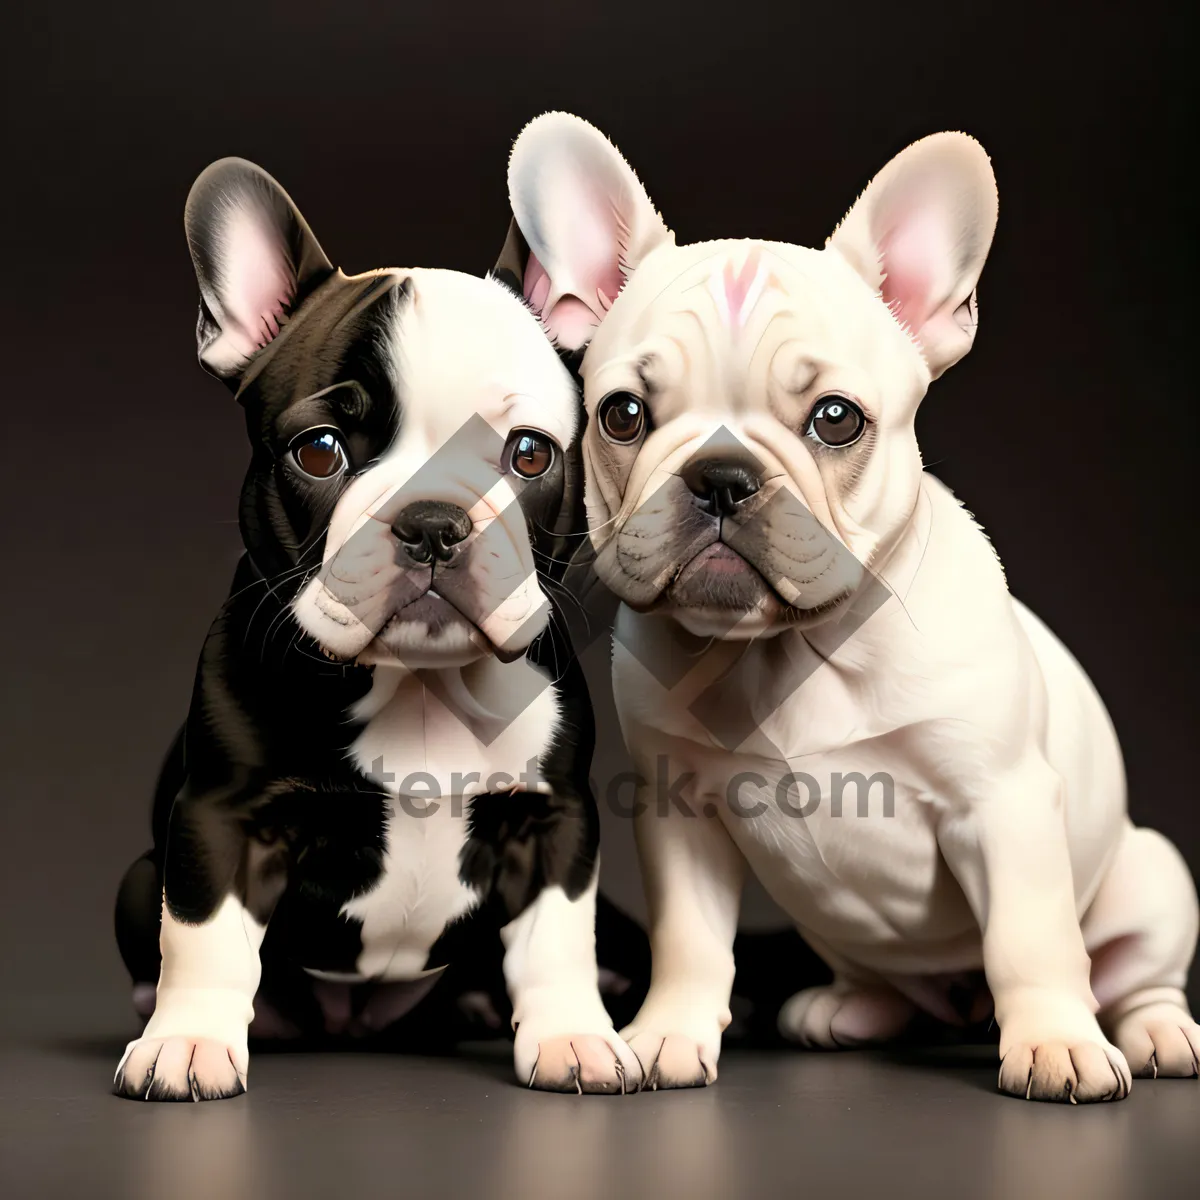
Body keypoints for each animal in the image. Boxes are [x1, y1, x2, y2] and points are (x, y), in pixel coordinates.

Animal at [113, 162, 643, 1104]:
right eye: (319, 451)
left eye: (530, 454)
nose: (432, 522)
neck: (418, 684)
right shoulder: (220, 818)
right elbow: (205, 940)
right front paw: (187, 1042)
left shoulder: (552, 820)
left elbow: (555, 942)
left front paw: (573, 1037)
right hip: (140, 881)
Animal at [506, 114, 1200, 1104]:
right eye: (623, 415)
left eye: (837, 419)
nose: (723, 476)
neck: (789, 649)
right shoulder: (683, 818)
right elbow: (690, 942)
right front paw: (668, 1032)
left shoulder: (1004, 802)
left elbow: (1031, 939)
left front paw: (1056, 1043)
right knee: (891, 986)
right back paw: (846, 1010)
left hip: (1152, 878)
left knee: (1134, 976)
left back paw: (1151, 1033)